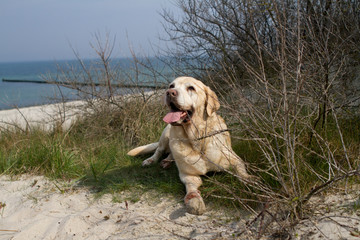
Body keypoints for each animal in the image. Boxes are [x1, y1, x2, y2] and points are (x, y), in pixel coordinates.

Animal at [127, 77, 250, 216]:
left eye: (191, 88)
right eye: (171, 86)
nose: (170, 93)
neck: (197, 139)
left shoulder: (234, 159)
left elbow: (241, 171)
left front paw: (250, 180)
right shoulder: (188, 175)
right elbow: (191, 188)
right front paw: (194, 199)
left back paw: (166, 161)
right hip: (166, 133)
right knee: (159, 150)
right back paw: (151, 160)